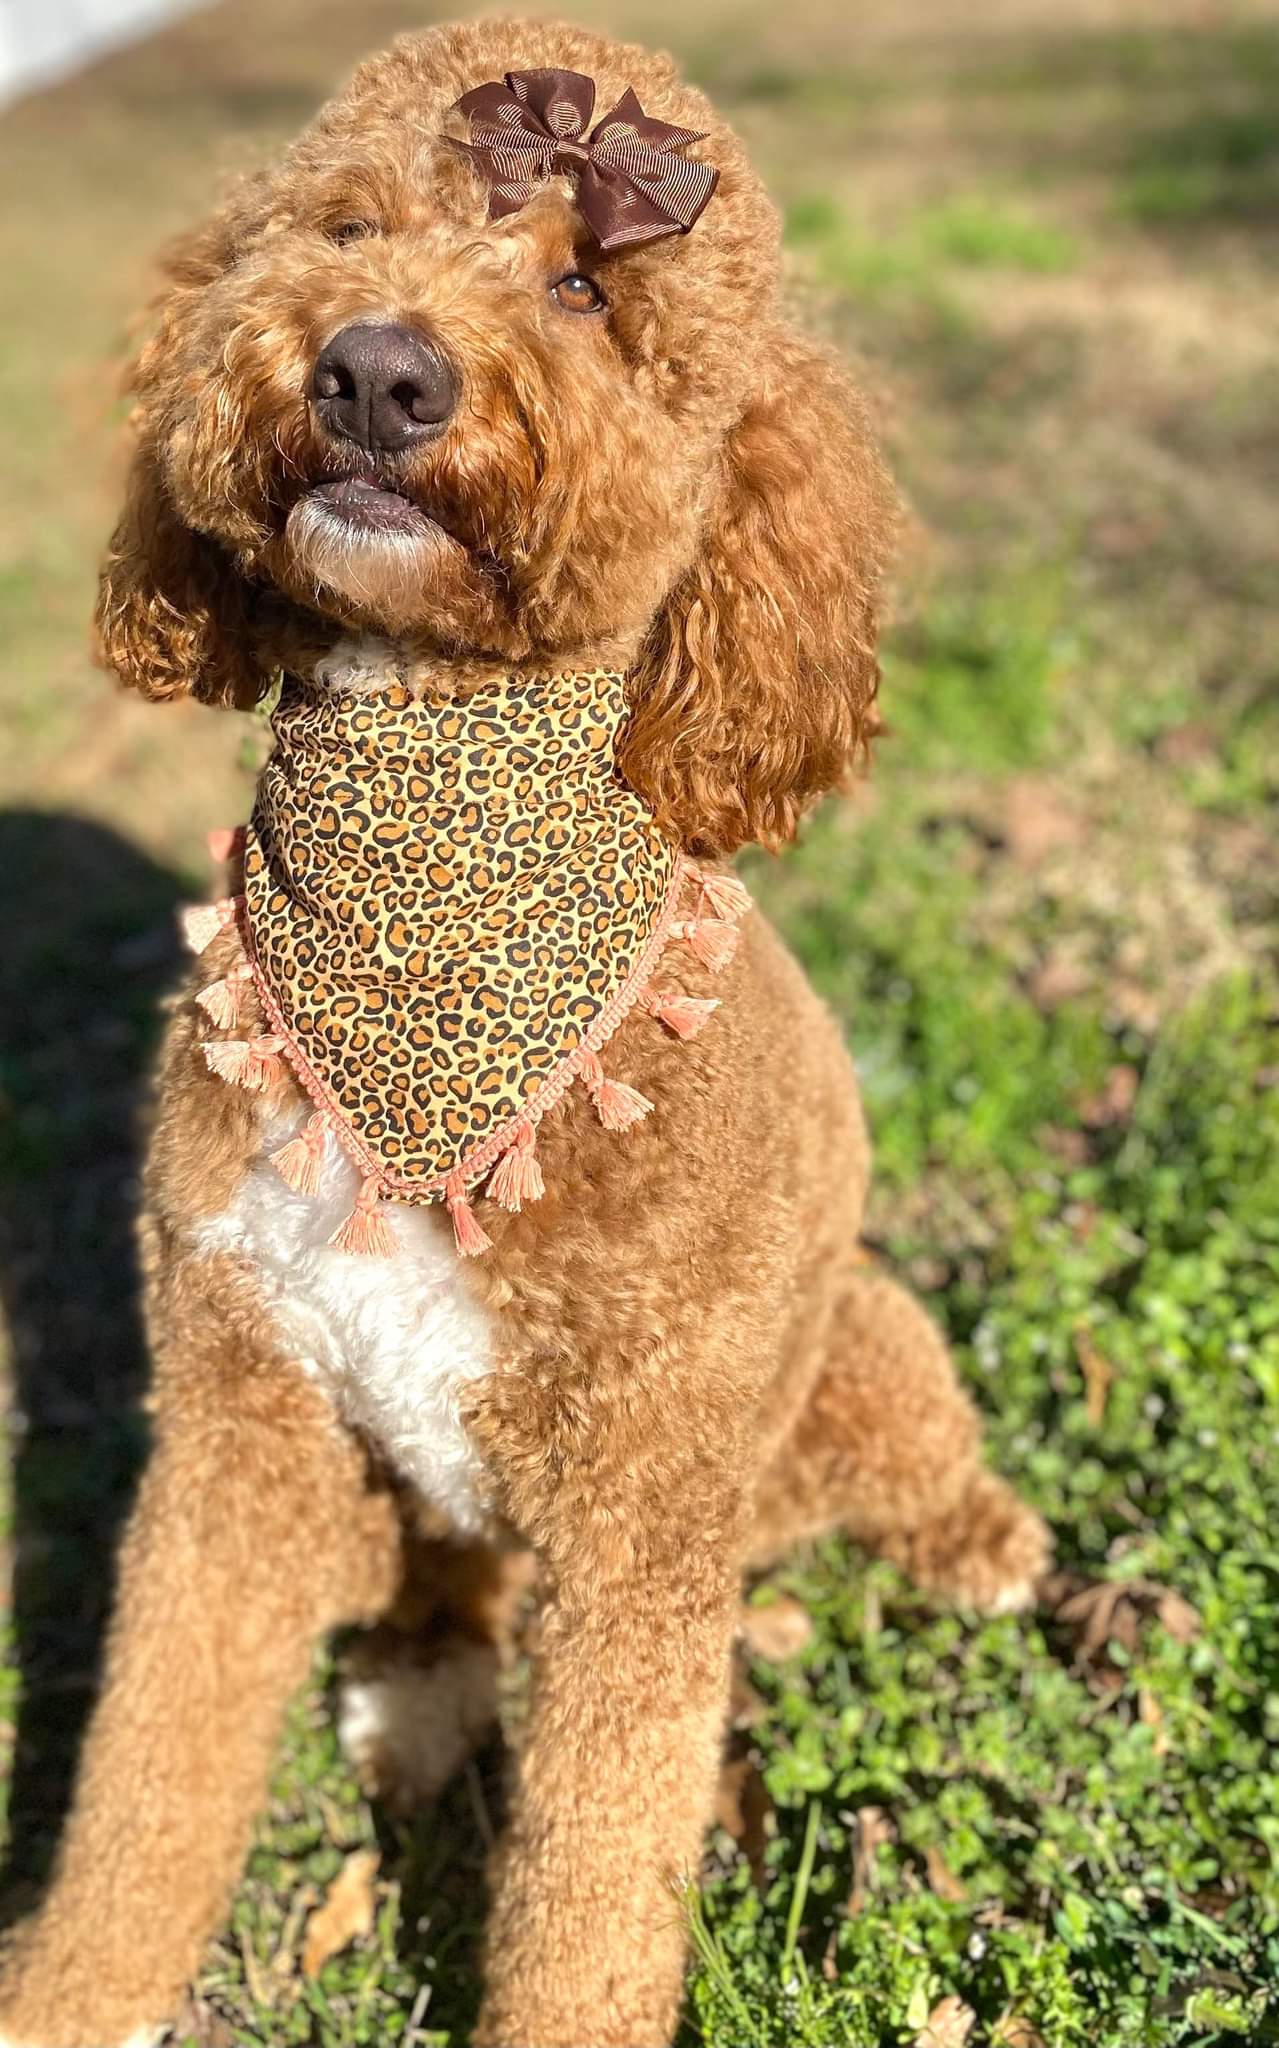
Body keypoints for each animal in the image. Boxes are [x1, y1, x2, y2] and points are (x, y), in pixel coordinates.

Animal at [2, 19, 1047, 2048]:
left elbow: (589, 1880)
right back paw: (417, 1695)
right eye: (342, 227)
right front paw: (71, 1993)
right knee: (440, 1600)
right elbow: (146, 1778)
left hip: (852, 1353)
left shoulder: (639, 1527)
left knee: (915, 1456)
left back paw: (980, 1544)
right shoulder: (236, 1435)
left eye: (584, 286)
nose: (374, 369)